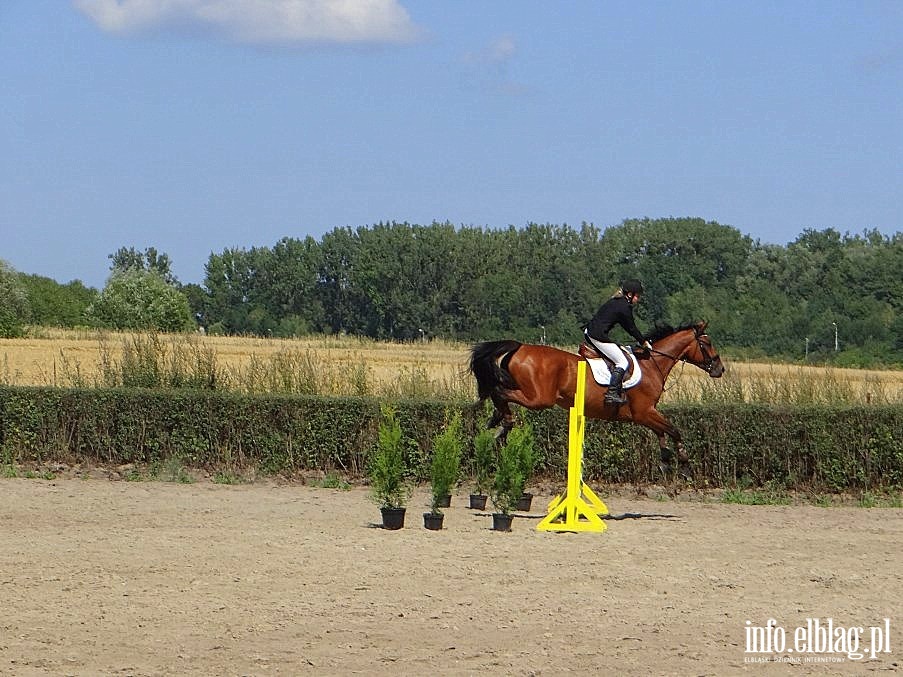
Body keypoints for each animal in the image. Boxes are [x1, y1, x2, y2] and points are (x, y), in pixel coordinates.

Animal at [470, 320, 724, 476]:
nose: (719, 369)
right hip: (538, 398)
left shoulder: (645, 415)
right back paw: (504, 423)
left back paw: (498, 421)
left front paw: (665, 460)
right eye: (707, 343)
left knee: (499, 392)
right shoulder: (644, 412)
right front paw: (684, 464)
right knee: (499, 392)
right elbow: (674, 430)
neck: (652, 364)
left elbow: (662, 431)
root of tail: (520, 347)